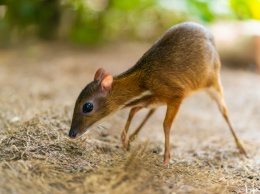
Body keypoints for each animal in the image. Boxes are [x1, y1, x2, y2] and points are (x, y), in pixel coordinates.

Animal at [68, 21, 247, 164]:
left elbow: (166, 124)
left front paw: (166, 158)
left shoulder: (176, 94)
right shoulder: (152, 98)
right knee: (151, 111)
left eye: (87, 106)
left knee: (224, 111)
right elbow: (134, 110)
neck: (144, 82)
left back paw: (241, 147)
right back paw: (132, 137)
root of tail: (212, 36)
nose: (71, 133)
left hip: (214, 83)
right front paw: (125, 140)